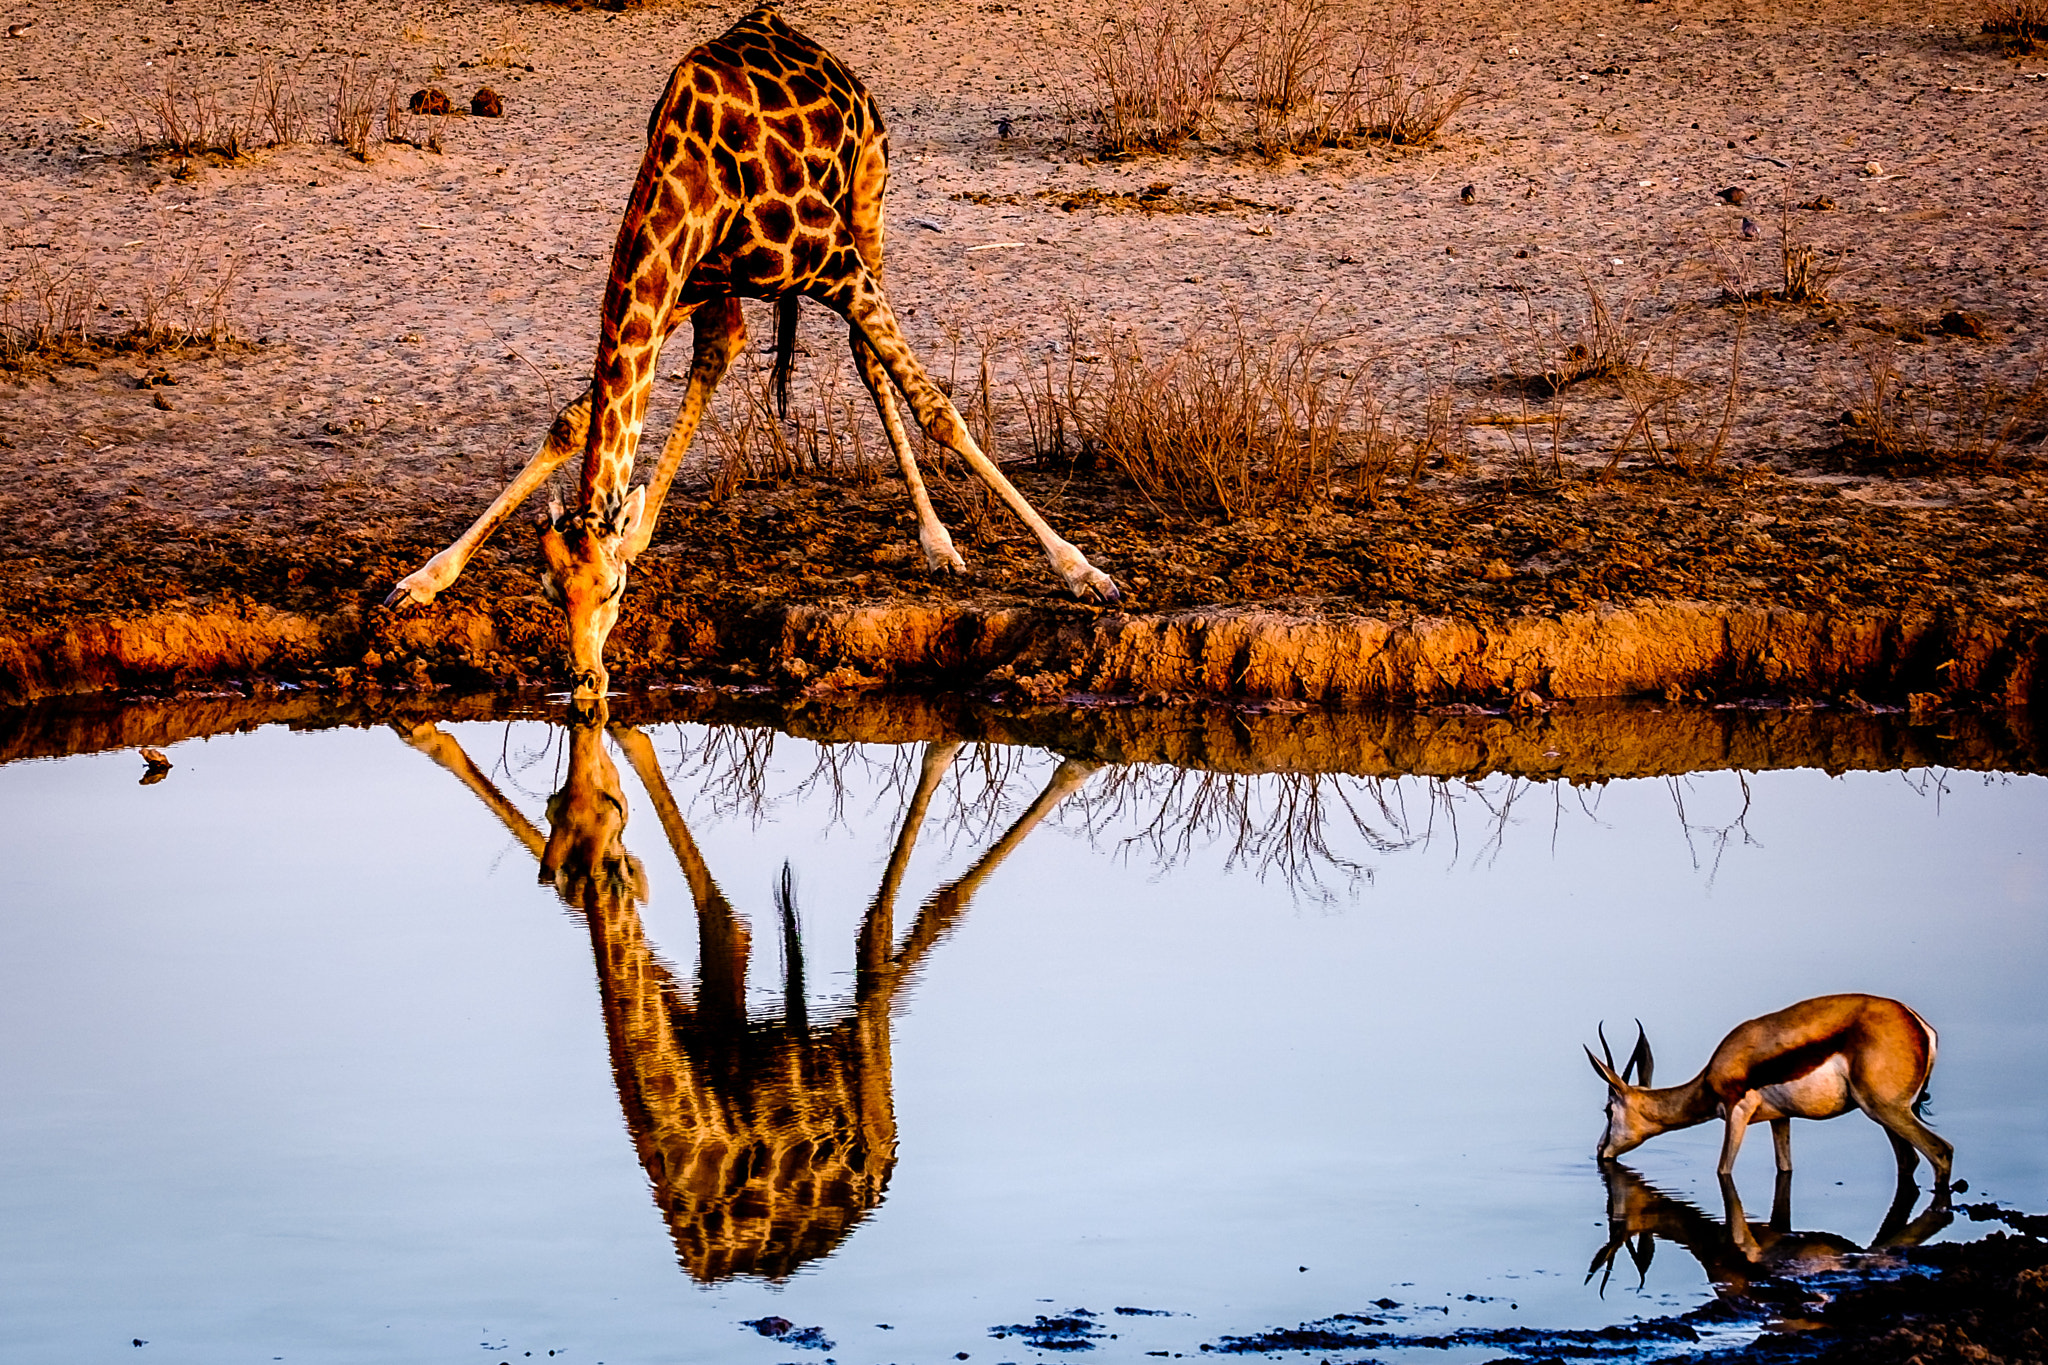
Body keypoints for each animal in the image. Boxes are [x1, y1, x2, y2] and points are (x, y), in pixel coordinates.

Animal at [385, 5, 1122, 699]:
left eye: (613, 590)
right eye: (547, 588)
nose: (587, 677)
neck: (695, 180)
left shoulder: (836, 263)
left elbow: (937, 410)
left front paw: (1084, 573)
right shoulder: (680, 283)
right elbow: (570, 421)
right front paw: (422, 580)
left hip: (868, 199)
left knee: (867, 361)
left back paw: (938, 545)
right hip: (724, 286)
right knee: (726, 346)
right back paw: (646, 529)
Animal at [403, 716, 1105, 1285]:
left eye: (606, 810)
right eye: (559, 810)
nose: (590, 795)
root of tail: (876, 1176)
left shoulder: (720, 1002)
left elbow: (723, 915)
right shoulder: (700, 1011)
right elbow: (643, 762)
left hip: (860, 1061)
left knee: (880, 940)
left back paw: (1029, 755)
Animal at [1581, 998, 1949, 1186]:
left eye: (1608, 1111)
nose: (1599, 1151)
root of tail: (1918, 1025)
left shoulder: (1736, 1114)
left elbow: (1723, 1170)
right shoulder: (1780, 1119)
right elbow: (1784, 1167)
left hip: (1884, 1109)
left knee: (1940, 1152)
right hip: (1884, 1115)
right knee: (1909, 1159)